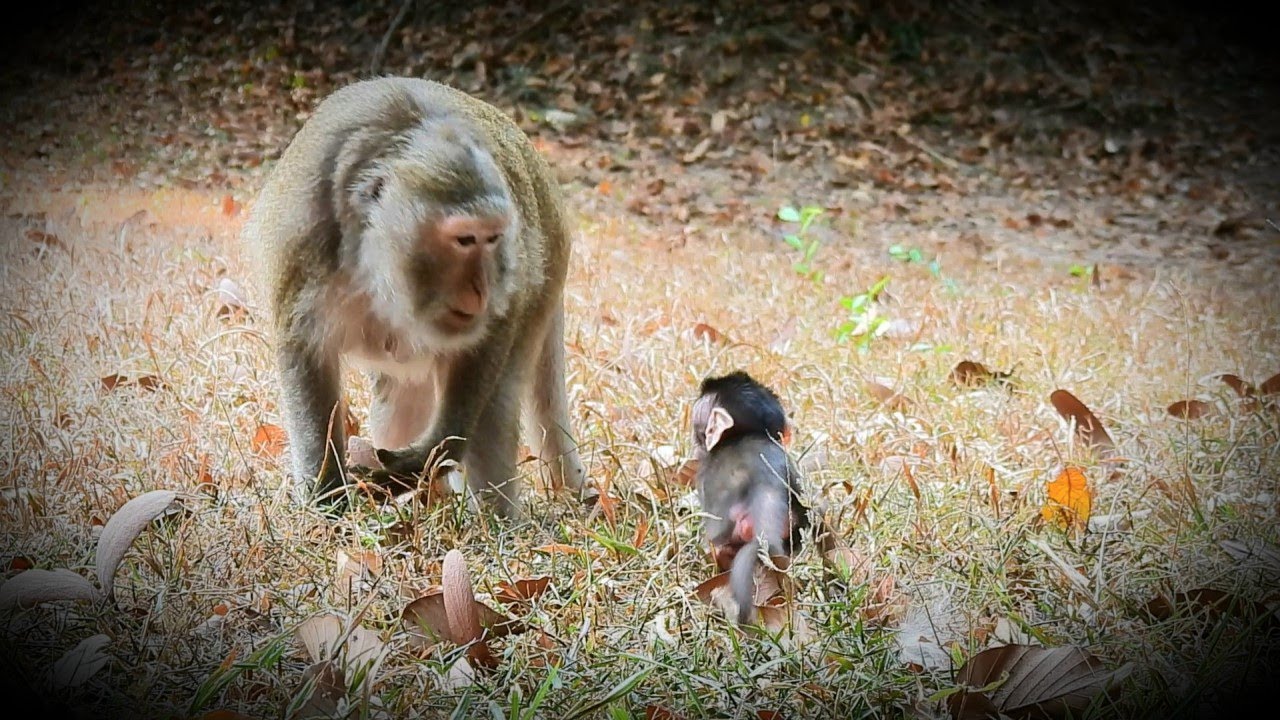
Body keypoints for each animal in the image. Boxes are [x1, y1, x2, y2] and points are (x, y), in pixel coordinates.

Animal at [242, 77, 586, 518]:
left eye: (493, 238)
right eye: (464, 240)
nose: (483, 286)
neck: (377, 266)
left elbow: (494, 333)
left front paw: (435, 449)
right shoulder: (302, 247)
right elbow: (305, 355)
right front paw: (327, 499)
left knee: (496, 401)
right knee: (402, 396)